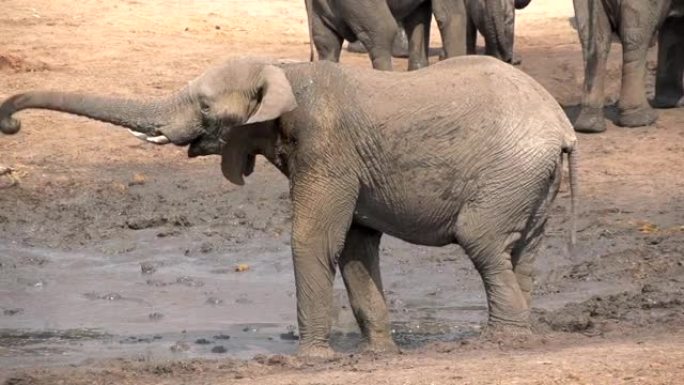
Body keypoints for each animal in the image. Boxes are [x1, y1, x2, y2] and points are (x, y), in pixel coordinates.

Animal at [0, 55, 576, 356]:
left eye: (204, 106)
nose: (12, 122)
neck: (284, 69)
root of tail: (562, 124)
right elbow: (356, 247)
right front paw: (377, 356)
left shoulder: (326, 147)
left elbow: (313, 239)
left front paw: (311, 358)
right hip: (531, 180)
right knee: (521, 254)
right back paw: (522, 335)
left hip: (510, 170)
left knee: (483, 244)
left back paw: (498, 344)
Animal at [572, 0, 684, 134]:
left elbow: (674, 28)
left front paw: (673, 104)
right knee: (635, 37)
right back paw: (640, 120)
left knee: (593, 40)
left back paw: (588, 126)